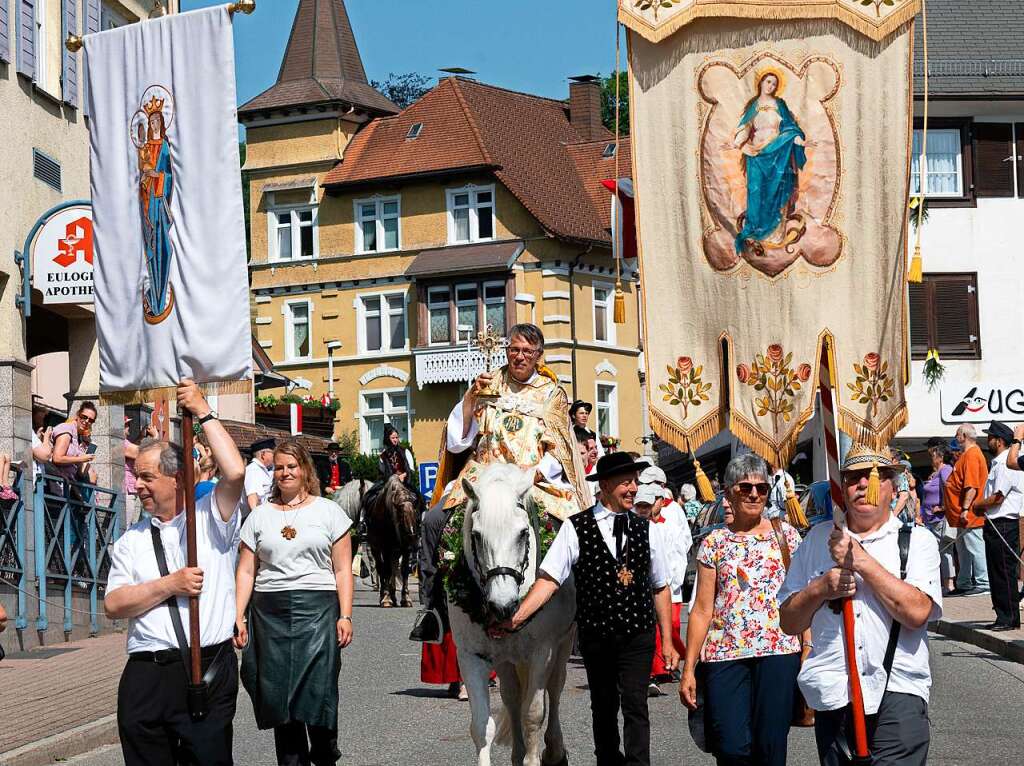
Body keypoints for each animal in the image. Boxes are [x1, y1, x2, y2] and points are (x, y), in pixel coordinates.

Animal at [366, 475, 417, 606]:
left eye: (414, 513)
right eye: (401, 515)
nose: (411, 537)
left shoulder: (404, 549)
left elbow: (404, 570)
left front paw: (406, 598)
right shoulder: (386, 548)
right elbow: (386, 570)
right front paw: (386, 598)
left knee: (393, 568)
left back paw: (393, 596)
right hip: (376, 548)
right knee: (382, 568)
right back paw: (385, 595)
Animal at [448, 462, 577, 766]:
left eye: (522, 533)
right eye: (476, 536)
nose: (503, 605)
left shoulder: (543, 651)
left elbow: (533, 714)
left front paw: (535, 757)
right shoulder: (471, 655)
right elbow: (482, 725)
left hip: (564, 643)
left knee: (554, 690)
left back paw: (555, 751)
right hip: (506, 659)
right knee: (512, 697)